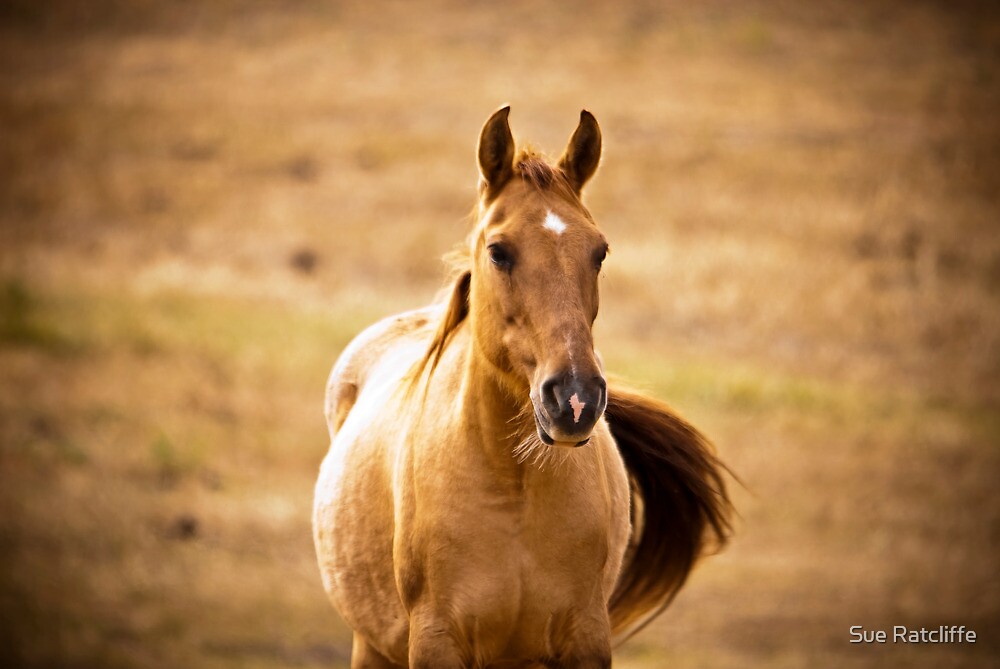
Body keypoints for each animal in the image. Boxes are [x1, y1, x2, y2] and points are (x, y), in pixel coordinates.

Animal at [313, 107, 733, 668]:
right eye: (498, 251)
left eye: (599, 252)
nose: (575, 400)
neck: (514, 488)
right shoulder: (435, 642)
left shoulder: (586, 638)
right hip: (372, 646)